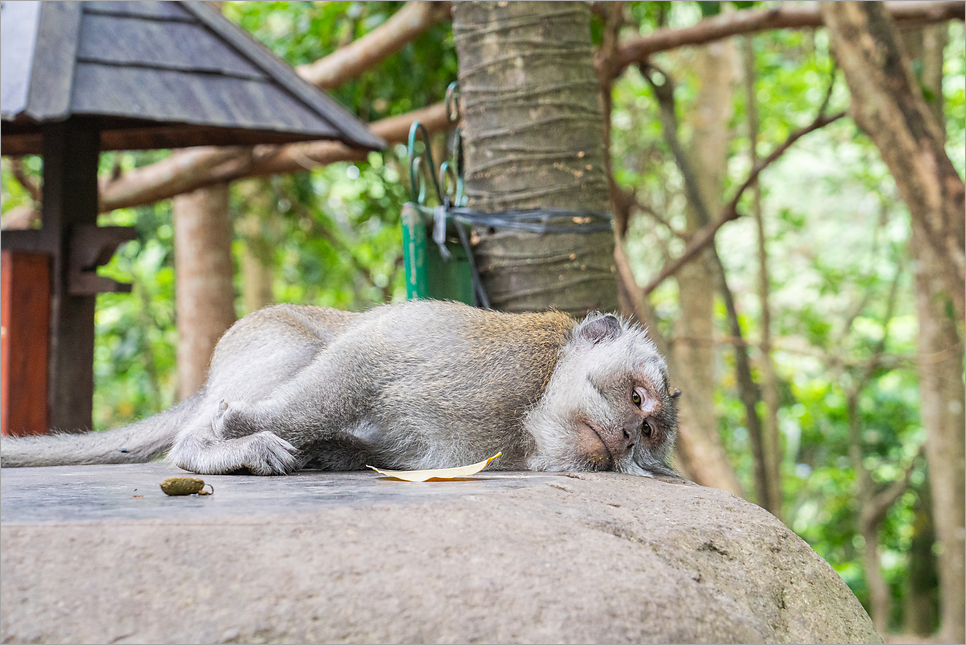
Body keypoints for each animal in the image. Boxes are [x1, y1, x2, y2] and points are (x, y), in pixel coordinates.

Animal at [0, 300, 680, 476]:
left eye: (649, 434)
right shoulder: (496, 366)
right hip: (261, 336)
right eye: (638, 399)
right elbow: (366, 356)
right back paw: (209, 442)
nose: (625, 439)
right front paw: (234, 429)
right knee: (309, 352)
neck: (530, 413)